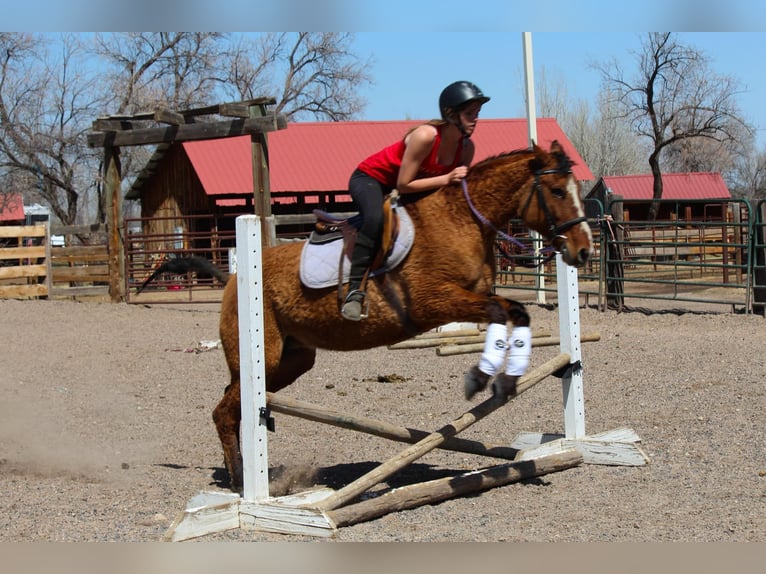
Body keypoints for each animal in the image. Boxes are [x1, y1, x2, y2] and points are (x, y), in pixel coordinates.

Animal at [213, 140, 593, 491]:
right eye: (557, 191)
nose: (583, 251)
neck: (462, 220)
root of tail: (234, 279)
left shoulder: (476, 296)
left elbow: (516, 313)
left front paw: (507, 380)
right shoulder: (432, 303)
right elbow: (500, 312)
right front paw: (479, 378)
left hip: (292, 360)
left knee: (235, 403)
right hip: (265, 356)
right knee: (226, 410)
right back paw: (241, 482)